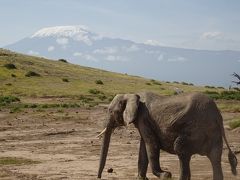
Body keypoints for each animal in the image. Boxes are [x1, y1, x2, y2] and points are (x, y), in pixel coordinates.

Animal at [96, 92, 237, 179]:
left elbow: (151, 144)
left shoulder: (144, 118)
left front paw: (165, 175)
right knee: (215, 158)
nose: (98, 177)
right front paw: (141, 178)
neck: (131, 94)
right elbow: (143, 147)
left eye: (111, 111)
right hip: (213, 133)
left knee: (180, 149)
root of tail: (217, 115)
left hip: (197, 129)